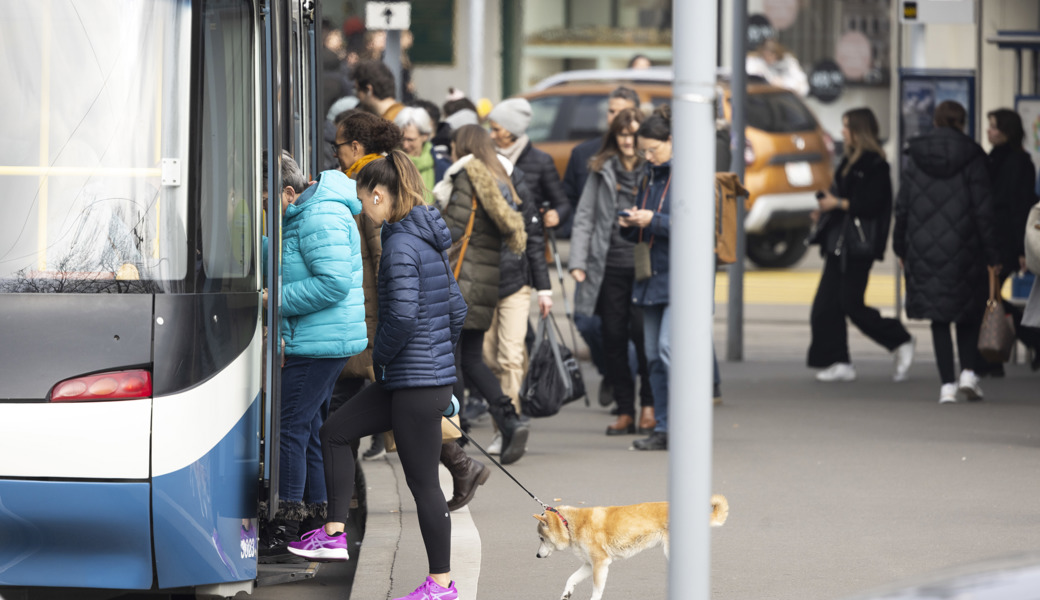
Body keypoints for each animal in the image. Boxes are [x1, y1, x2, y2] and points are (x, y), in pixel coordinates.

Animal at [532, 490, 728, 598]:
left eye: (541, 538)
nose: (537, 555)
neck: (570, 524)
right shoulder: (589, 564)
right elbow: (571, 579)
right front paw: (566, 595)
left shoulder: (601, 564)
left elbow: (596, 591)